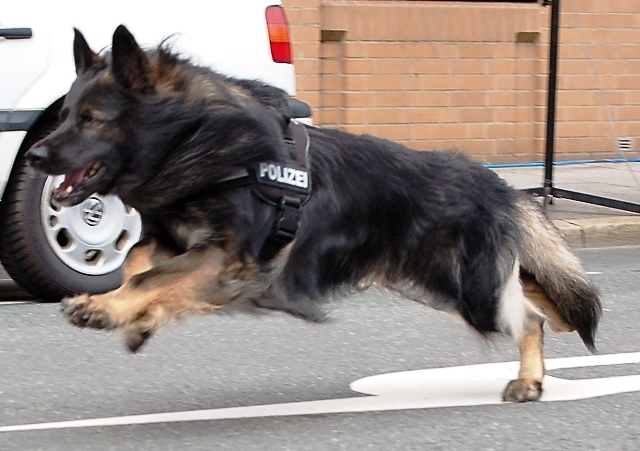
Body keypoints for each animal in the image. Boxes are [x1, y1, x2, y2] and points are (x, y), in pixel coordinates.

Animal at [27, 26, 604, 404]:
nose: (32, 156)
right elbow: (139, 265)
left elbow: (152, 276)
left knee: (530, 317)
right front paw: (137, 317)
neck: (197, 142)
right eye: (64, 116)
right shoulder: (181, 245)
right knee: (533, 295)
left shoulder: (228, 257)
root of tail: (495, 184)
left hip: (467, 290)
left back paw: (530, 379)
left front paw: (107, 308)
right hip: (434, 283)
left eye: (91, 120)